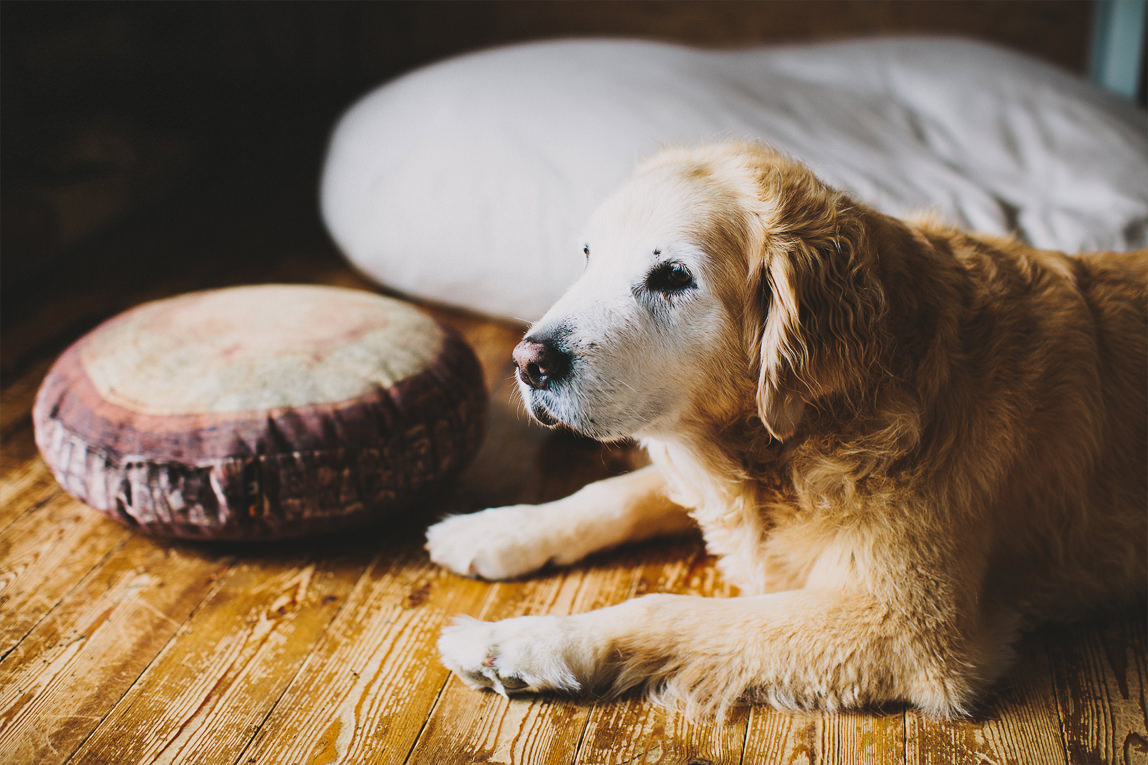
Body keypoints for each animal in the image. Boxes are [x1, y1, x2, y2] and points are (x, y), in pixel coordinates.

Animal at [424, 138, 1148, 716]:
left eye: (674, 276)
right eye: (587, 254)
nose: (527, 361)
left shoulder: (905, 629)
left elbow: (664, 607)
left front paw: (515, 641)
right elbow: (615, 493)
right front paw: (496, 528)